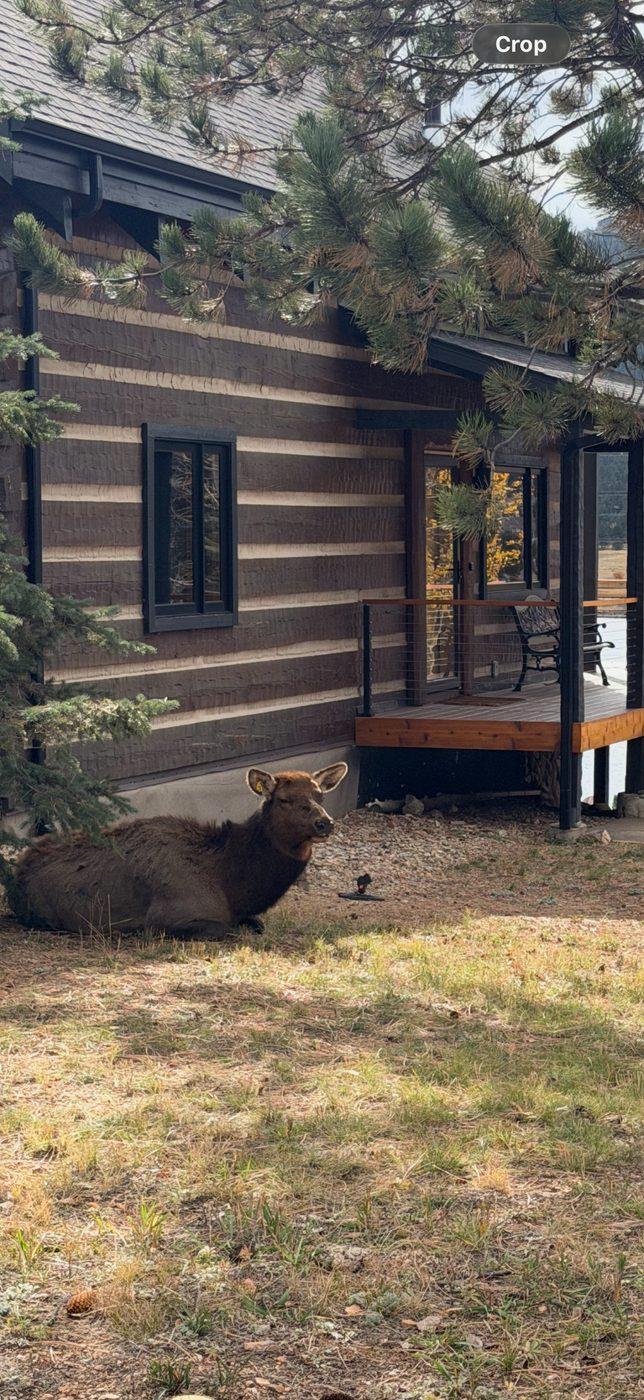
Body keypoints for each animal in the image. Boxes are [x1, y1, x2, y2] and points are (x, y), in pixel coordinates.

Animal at [7, 764, 348, 939]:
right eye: (284, 800)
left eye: (320, 795)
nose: (324, 823)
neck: (230, 885)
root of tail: (15, 872)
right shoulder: (171, 916)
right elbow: (225, 929)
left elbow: (257, 924)